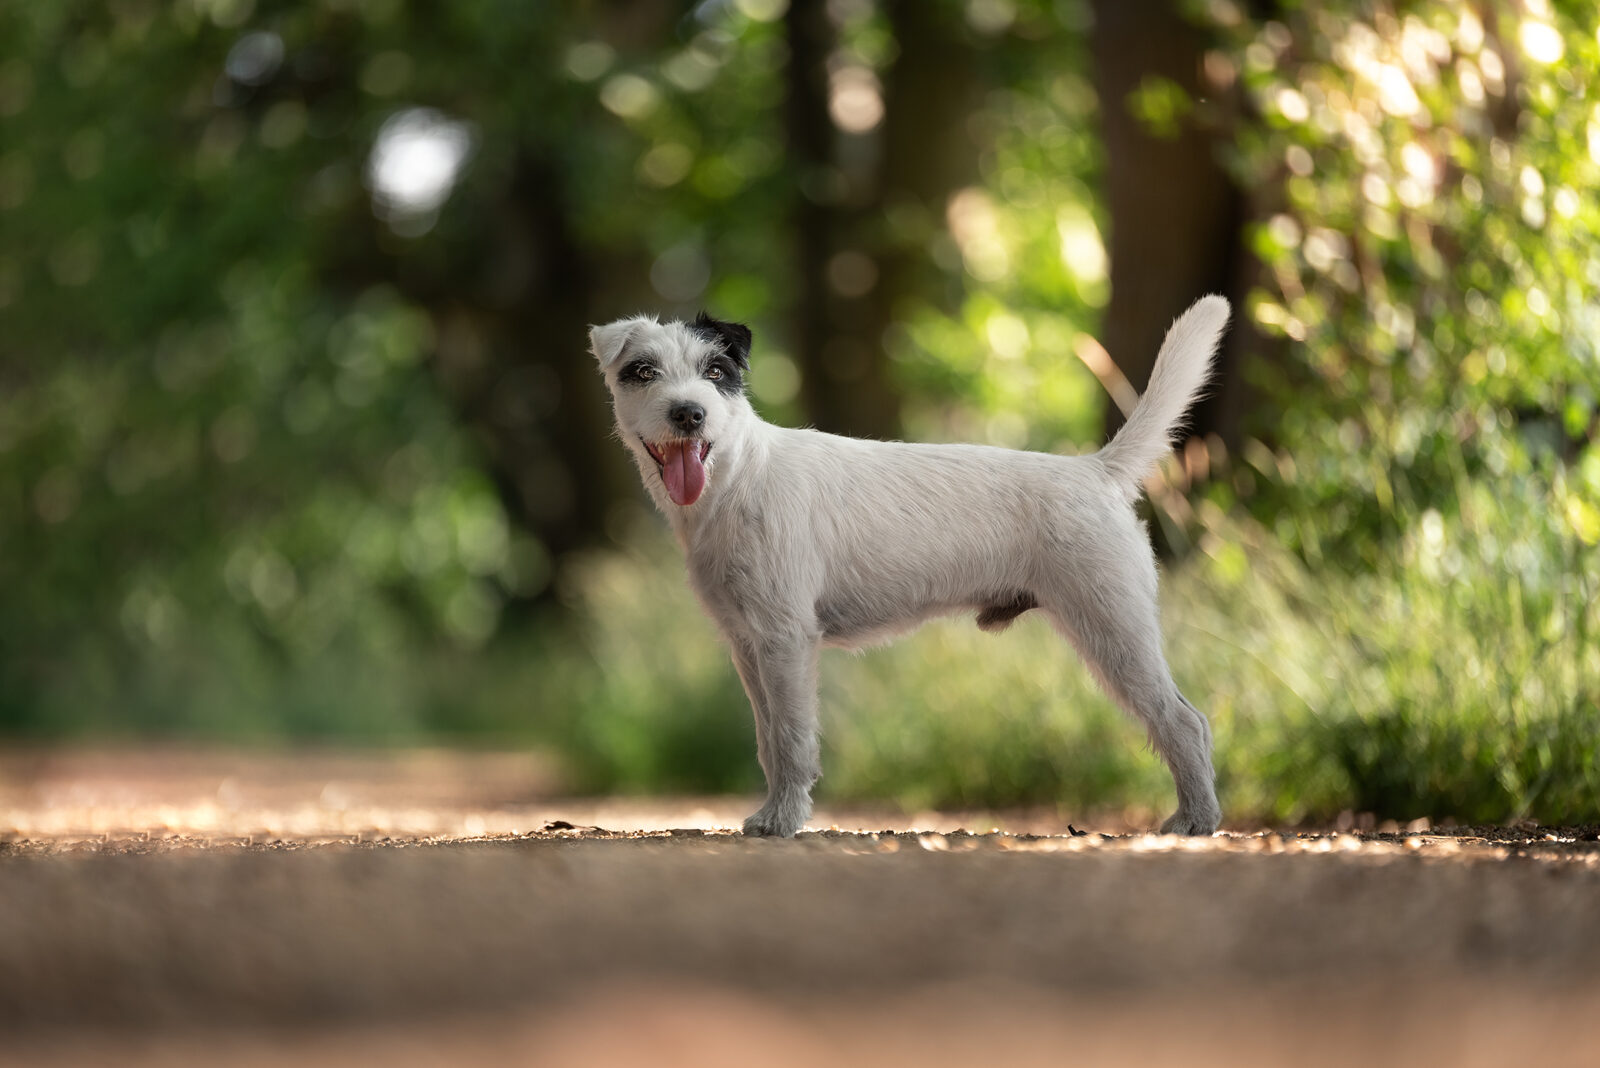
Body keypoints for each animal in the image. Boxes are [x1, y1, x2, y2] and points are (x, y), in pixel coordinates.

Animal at [588, 295, 1222, 837]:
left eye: (716, 371)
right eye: (643, 371)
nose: (689, 414)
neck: (737, 478)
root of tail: (1098, 471)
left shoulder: (787, 641)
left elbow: (793, 740)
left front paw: (784, 821)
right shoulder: (749, 645)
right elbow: (769, 740)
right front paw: (772, 812)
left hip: (1114, 629)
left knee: (1184, 722)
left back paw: (1196, 821)